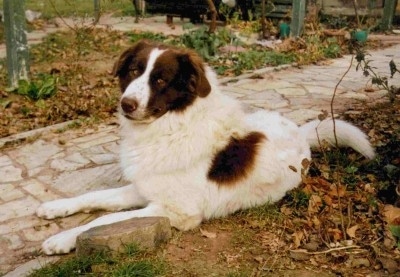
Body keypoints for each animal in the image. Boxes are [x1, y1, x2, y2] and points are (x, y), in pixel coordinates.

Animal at [35, 39, 376, 254]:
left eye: (160, 80)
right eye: (133, 72)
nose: (126, 104)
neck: (171, 128)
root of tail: (300, 131)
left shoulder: (176, 210)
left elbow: (104, 220)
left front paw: (62, 238)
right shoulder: (145, 188)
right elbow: (96, 198)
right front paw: (56, 208)